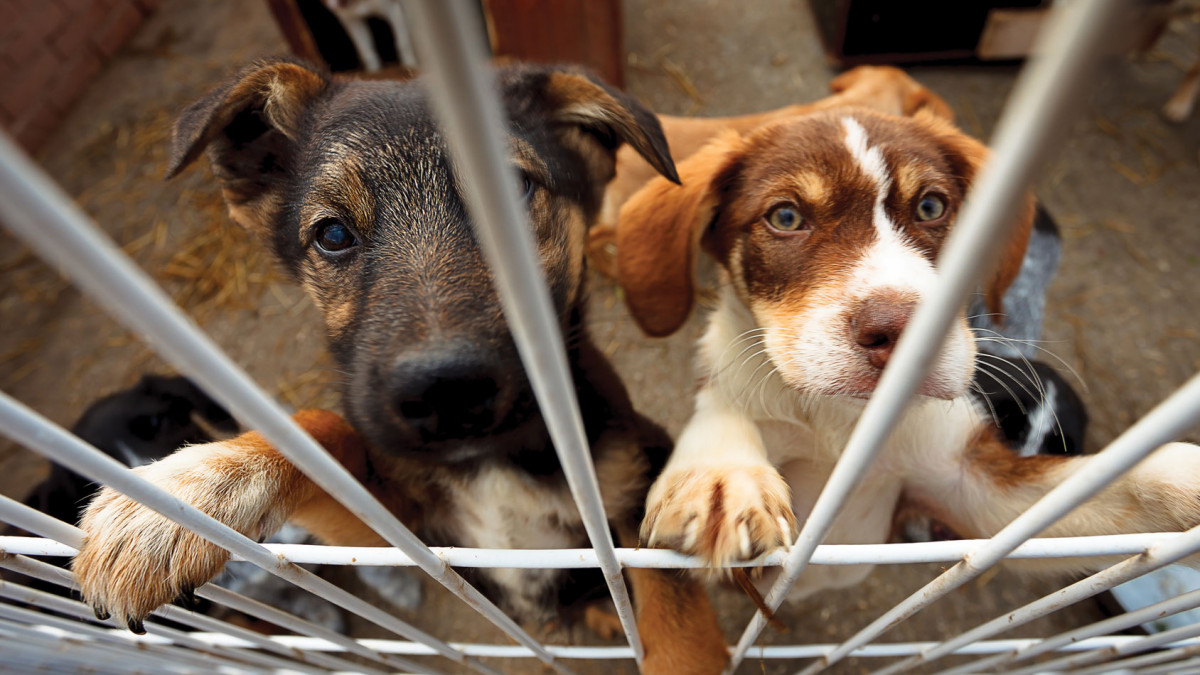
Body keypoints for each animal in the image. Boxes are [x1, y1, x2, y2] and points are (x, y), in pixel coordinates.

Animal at [614, 88, 1200, 593]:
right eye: (785, 216)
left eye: (931, 207)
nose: (906, 332)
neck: (841, 423)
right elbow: (722, 411)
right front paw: (720, 475)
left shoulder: (972, 489)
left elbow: (1125, 477)